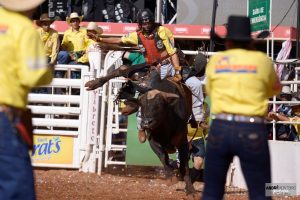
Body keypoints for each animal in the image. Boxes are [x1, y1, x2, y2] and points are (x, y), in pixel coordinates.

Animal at [85, 63, 197, 193]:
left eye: (160, 105)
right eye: (142, 106)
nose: (146, 123)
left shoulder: (182, 142)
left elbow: (184, 164)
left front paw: (190, 189)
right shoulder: (153, 141)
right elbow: (163, 157)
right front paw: (171, 177)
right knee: (124, 69)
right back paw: (94, 83)